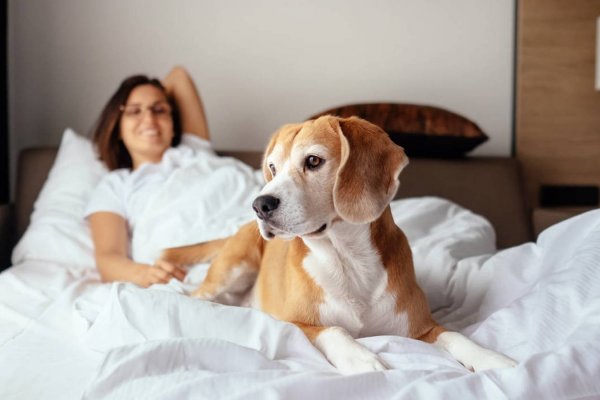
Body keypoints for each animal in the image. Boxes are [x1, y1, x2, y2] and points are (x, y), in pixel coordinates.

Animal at [163, 115, 516, 376]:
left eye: (313, 161)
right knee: (195, 295)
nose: (259, 205)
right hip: (232, 269)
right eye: (273, 168)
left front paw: (491, 358)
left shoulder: (422, 328)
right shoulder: (295, 323)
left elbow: (455, 335)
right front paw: (361, 358)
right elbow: (334, 330)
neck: (346, 259)